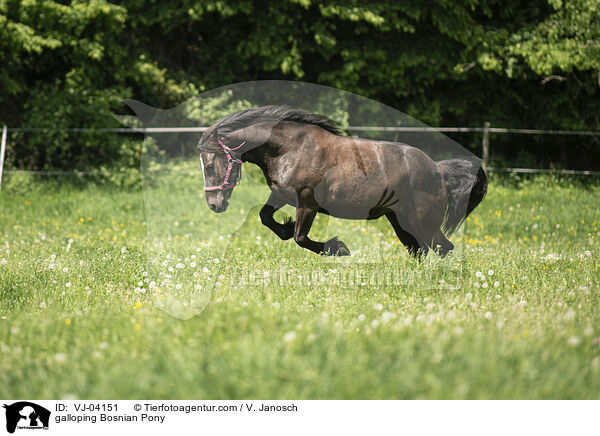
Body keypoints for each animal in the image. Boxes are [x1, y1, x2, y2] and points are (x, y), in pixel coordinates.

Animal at [197, 105, 488, 255]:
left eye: (209, 164)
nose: (214, 204)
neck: (291, 148)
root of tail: (437, 170)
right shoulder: (281, 194)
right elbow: (266, 217)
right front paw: (285, 228)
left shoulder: (307, 203)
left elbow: (300, 238)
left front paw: (337, 248)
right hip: (400, 220)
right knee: (421, 249)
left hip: (422, 220)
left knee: (441, 247)